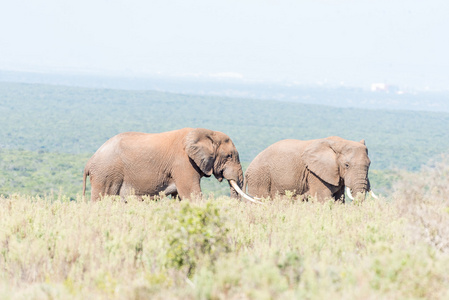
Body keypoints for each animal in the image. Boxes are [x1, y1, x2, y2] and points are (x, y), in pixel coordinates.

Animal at [82, 127, 260, 204]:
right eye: (229, 156)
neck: (206, 132)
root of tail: (89, 162)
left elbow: (179, 197)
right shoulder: (183, 163)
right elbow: (192, 194)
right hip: (106, 173)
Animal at [243, 137, 376, 203]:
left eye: (369, 164)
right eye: (347, 165)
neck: (339, 142)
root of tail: (248, 170)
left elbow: (339, 199)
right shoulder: (315, 173)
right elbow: (323, 198)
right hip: (260, 177)